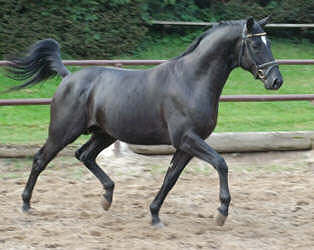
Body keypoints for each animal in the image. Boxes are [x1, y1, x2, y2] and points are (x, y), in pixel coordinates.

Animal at [3, 16, 282, 228]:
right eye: (255, 44)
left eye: (268, 41)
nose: (276, 80)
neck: (191, 81)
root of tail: (68, 77)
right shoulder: (187, 139)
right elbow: (221, 164)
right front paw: (221, 212)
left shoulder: (186, 145)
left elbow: (170, 179)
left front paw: (155, 214)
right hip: (63, 132)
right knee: (40, 159)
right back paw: (26, 203)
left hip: (104, 134)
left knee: (84, 155)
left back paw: (107, 196)